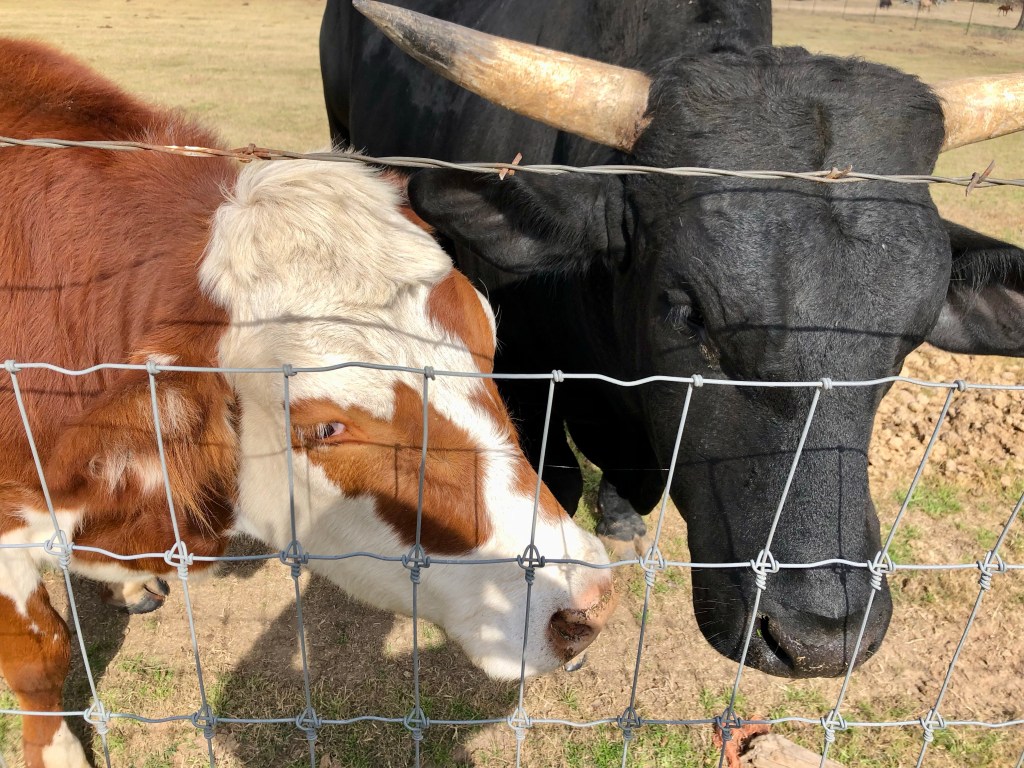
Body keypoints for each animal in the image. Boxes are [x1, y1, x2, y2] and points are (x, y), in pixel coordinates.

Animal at [321, 0, 1024, 680]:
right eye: (691, 312)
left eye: (912, 336)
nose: (821, 639)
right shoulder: (522, 375)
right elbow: (555, 486)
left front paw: (621, 519)